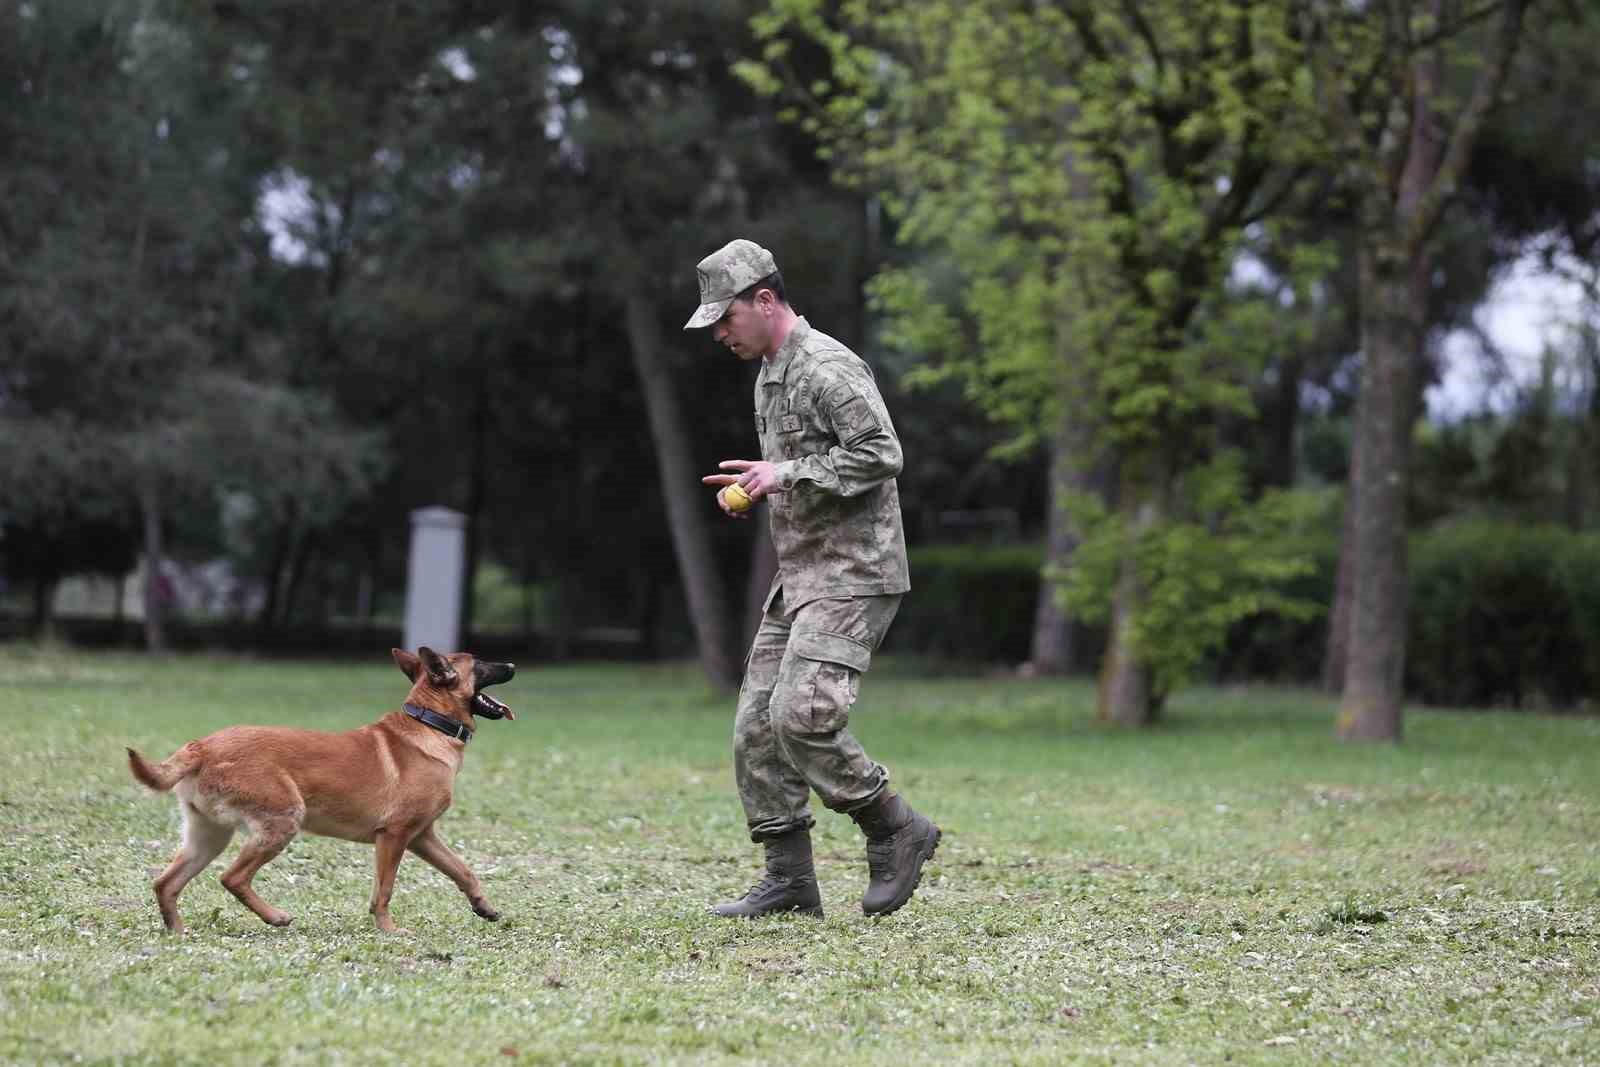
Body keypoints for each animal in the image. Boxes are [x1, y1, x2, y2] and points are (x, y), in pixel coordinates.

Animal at [126, 646, 512, 927]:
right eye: (480, 663)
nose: (511, 663)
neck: (429, 723)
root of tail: (201, 746)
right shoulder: (395, 835)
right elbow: (385, 890)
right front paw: (388, 930)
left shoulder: (421, 836)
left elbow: (462, 870)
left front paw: (484, 907)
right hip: (282, 820)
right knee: (232, 878)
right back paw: (275, 917)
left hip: (208, 837)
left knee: (166, 883)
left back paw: (178, 932)